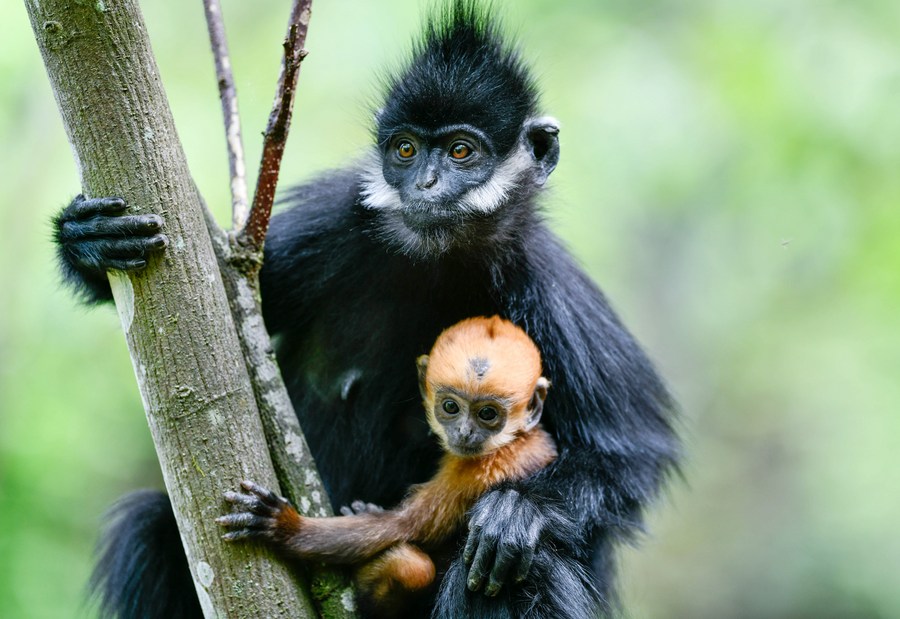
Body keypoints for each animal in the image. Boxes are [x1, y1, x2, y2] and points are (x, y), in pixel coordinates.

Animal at [218, 318, 556, 616]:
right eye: (450, 407)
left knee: (412, 567)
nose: (465, 432)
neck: (514, 440)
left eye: (487, 414)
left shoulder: (473, 471)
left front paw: (284, 526)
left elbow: (399, 526)